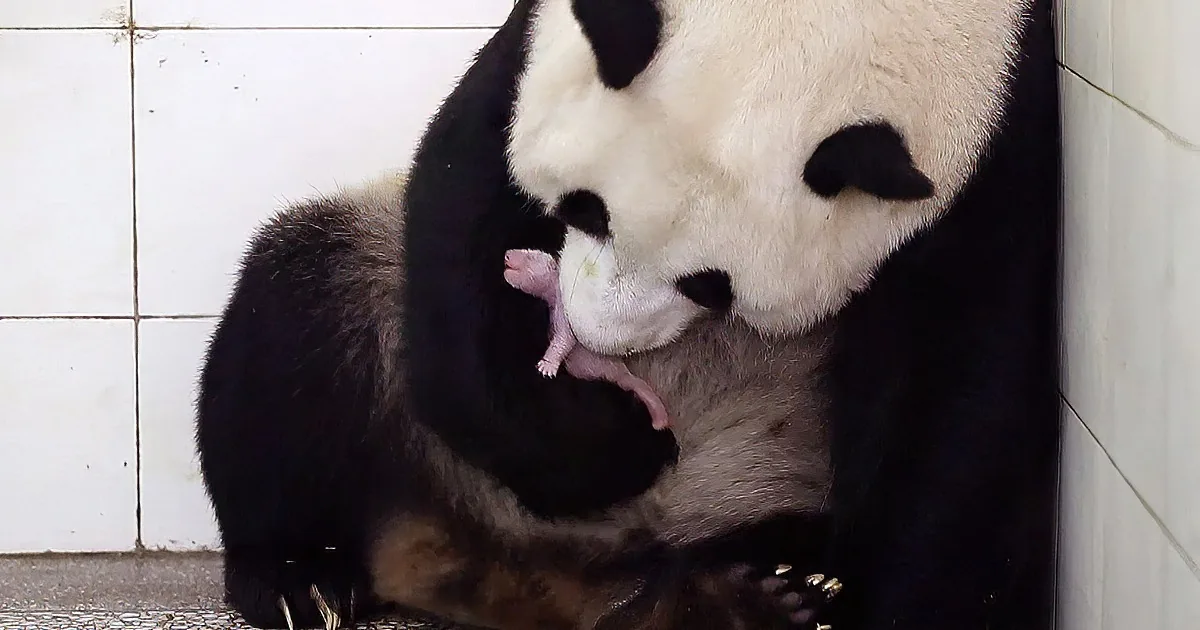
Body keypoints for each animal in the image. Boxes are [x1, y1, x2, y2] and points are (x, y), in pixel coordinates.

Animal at [195, 0, 1061, 628]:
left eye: (711, 287)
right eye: (583, 207)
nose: (594, 341)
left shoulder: (996, 145)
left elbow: (957, 387)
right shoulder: (534, 48)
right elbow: (462, 208)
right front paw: (616, 444)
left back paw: (761, 590)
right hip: (376, 322)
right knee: (299, 309)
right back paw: (300, 578)